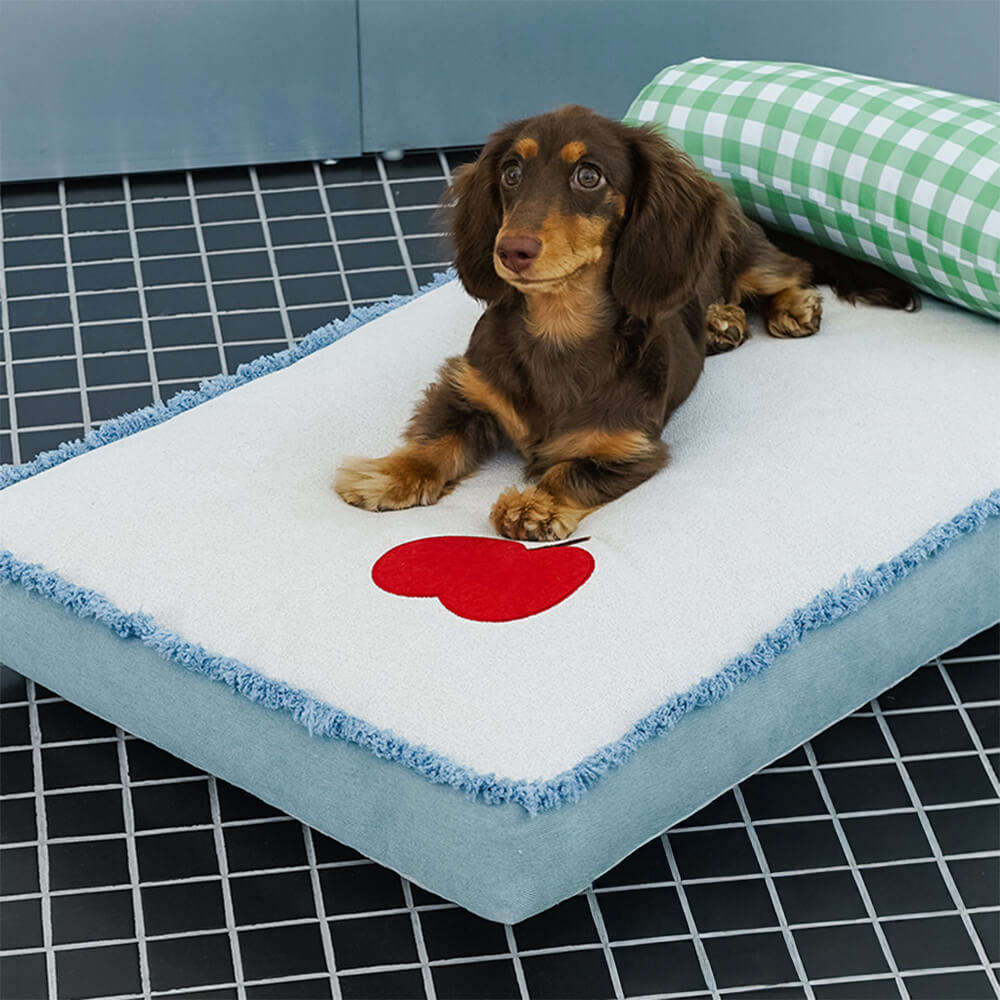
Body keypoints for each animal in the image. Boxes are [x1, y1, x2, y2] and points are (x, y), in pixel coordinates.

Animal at [334, 104, 916, 540]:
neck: (559, 328)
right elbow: (434, 440)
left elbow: (572, 471)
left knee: (787, 269)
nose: (510, 250)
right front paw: (386, 475)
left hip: (743, 251)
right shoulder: (467, 390)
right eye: (511, 173)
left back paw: (790, 307)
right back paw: (719, 322)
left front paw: (535, 506)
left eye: (588, 176)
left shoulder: (629, 448)